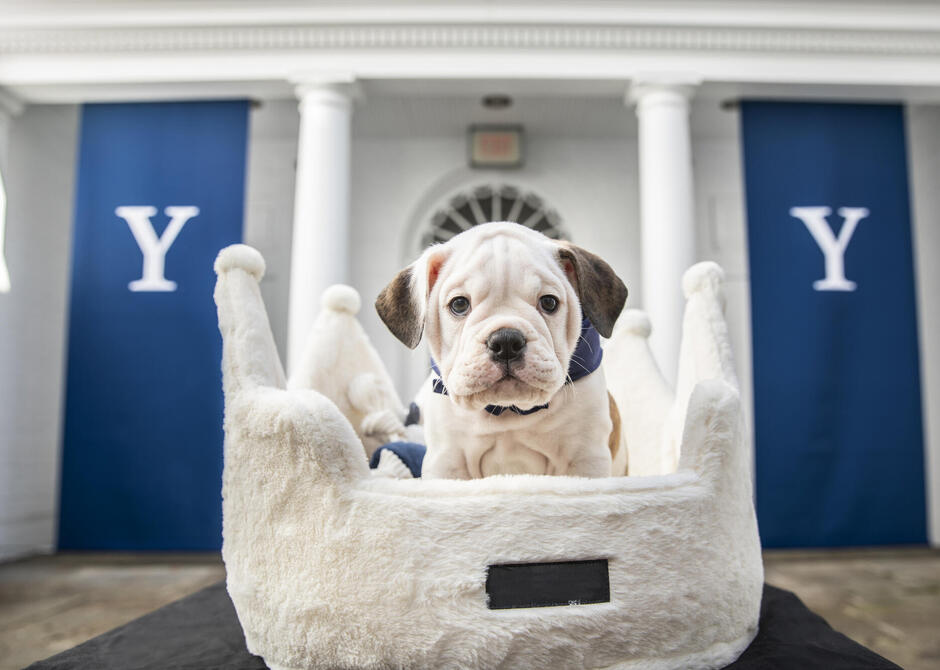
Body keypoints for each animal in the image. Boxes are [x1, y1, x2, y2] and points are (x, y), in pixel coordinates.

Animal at [372, 223, 624, 480]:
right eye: (459, 304)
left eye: (549, 303)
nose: (506, 342)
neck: (507, 409)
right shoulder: (448, 461)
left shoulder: (584, 458)